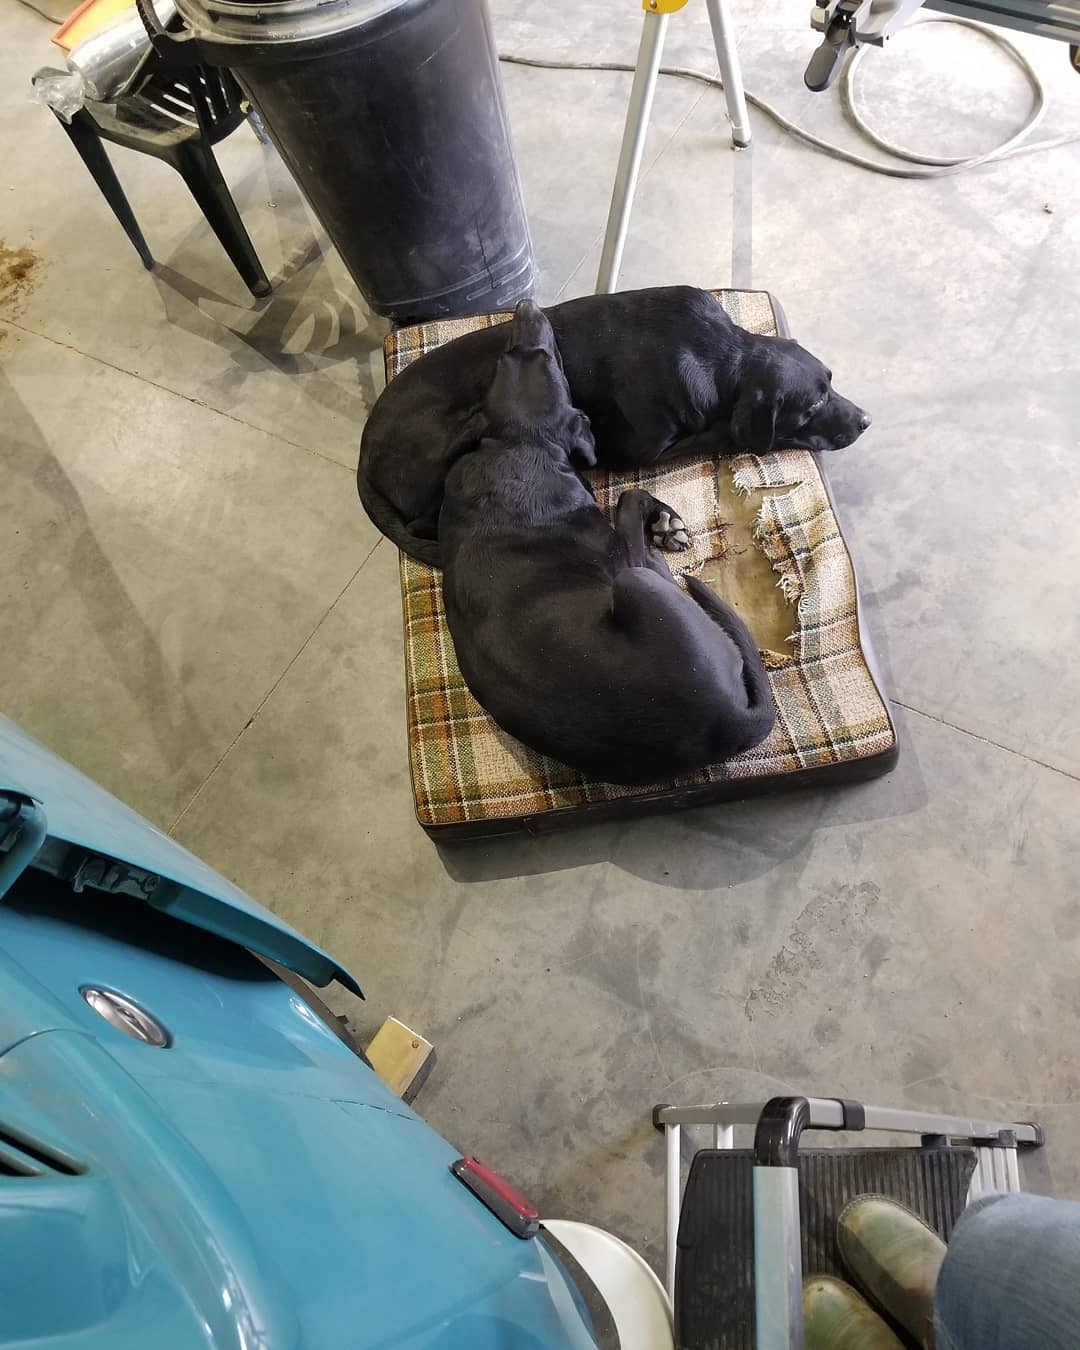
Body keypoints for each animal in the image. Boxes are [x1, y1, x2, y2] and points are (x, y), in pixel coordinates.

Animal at [359, 285, 871, 567]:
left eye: (831, 380)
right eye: (813, 404)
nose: (866, 421)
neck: (721, 354)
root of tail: (364, 457)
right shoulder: (645, 449)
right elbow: (723, 433)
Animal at [438, 299, 777, 786]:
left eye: (510, 357)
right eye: (551, 361)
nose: (525, 306)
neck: (518, 446)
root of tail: (729, 723)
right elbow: (628, 498)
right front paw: (665, 523)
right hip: (636, 584)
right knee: (641, 543)